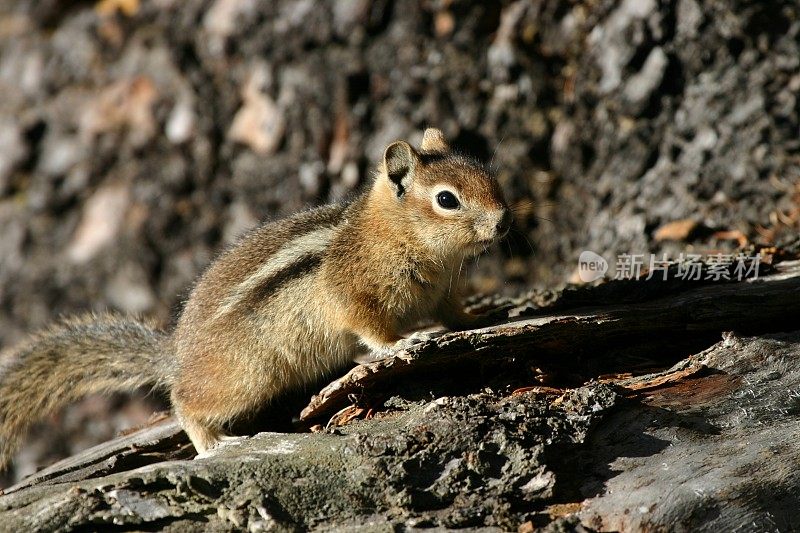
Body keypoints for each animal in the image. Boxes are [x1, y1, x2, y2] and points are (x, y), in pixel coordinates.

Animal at [0, 128, 512, 466]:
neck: (399, 235)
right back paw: (212, 444)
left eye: (489, 178)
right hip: (245, 377)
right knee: (184, 401)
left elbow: (453, 311)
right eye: (446, 200)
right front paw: (401, 343)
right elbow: (368, 326)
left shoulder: (443, 292)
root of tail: (177, 356)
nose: (504, 222)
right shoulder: (353, 292)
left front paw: (482, 312)